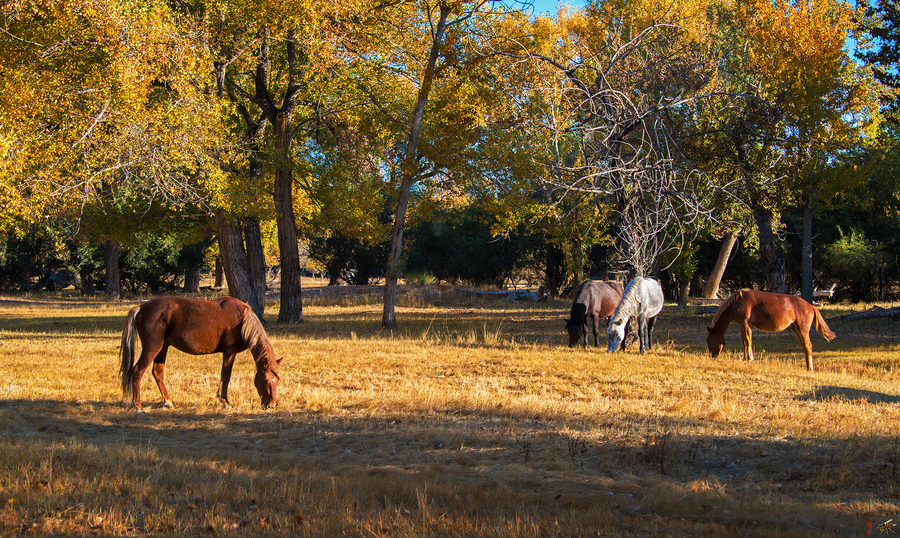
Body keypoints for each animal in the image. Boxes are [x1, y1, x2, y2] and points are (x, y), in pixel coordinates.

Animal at [119, 296, 280, 412]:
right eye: (265, 380)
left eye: (277, 381)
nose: (271, 405)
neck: (242, 320)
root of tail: (140, 307)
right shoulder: (229, 350)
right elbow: (226, 375)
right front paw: (225, 402)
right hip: (152, 348)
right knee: (137, 371)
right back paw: (138, 406)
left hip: (162, 348)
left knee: (157, 373)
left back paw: (168, 401)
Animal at [704, 288, 836, 368]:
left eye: (708, 340)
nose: (712, 356)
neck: (736, 301)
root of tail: (811, 306)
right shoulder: (743, 324)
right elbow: (746, 341)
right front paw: (748, 358)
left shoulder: (745, 322)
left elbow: (747, 341)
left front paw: (747, 359)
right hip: (796, 329)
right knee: (805, 347)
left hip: (802, 330)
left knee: (808, 346)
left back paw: (810, 368)